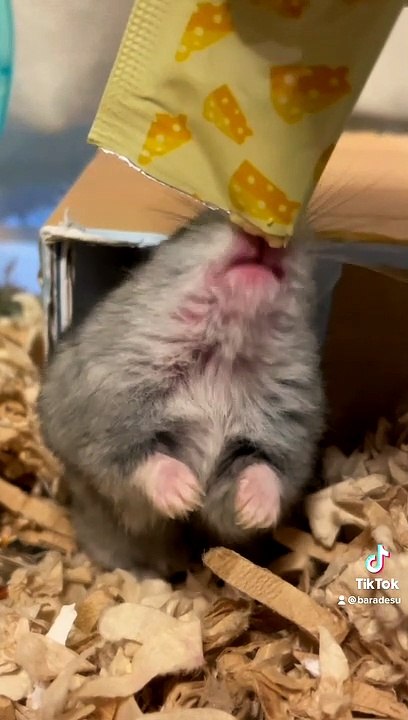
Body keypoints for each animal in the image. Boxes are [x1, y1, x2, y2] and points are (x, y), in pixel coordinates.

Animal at [38, 209, 324, 579]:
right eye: (186, 229)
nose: (264, 233)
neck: (222, 360)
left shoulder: (284, 434)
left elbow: (261, 472)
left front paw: (254, 512)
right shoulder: (107, 423)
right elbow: (144, 460)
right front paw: (187, 496)